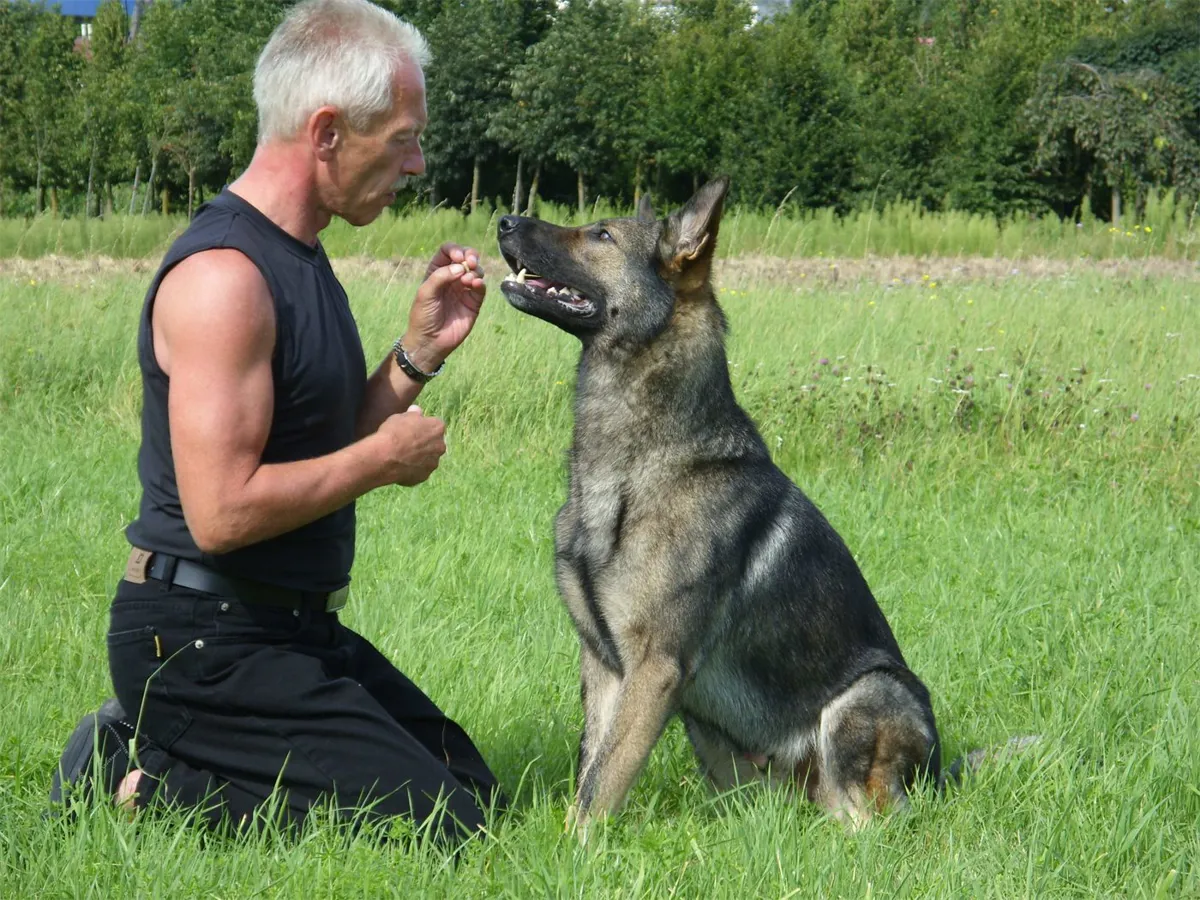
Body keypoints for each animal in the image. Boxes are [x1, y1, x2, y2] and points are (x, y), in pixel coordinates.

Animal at [497, 177, 947, 836]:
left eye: (601, 234)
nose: (503, 220)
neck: (641, 465)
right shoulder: (605, 667)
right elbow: (589, 768)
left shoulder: (654, 668)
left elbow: (602, 782)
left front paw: (576, 852)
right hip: (710, 732)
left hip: (862, 698)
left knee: (868, 822)